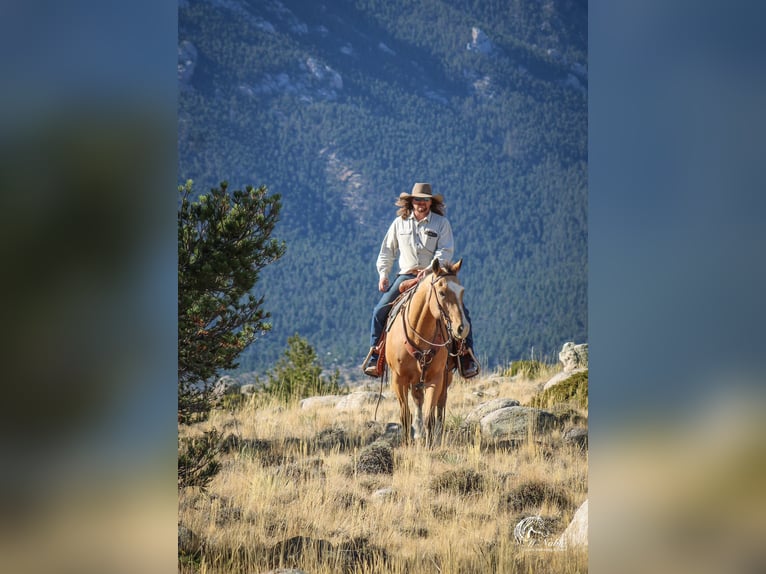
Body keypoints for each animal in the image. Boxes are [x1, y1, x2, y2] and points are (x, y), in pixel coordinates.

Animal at [388, 258, 472, 448]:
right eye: (441, 293)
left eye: (462, 291)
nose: (462, 328)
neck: (419, 334)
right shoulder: (398, 379)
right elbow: (405, 414)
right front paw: (407, 443)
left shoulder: (436, 378)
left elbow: (429, 417)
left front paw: (430, 445)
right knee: (418, 400)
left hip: (446, 377)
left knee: (440, 406)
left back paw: (436, 436)